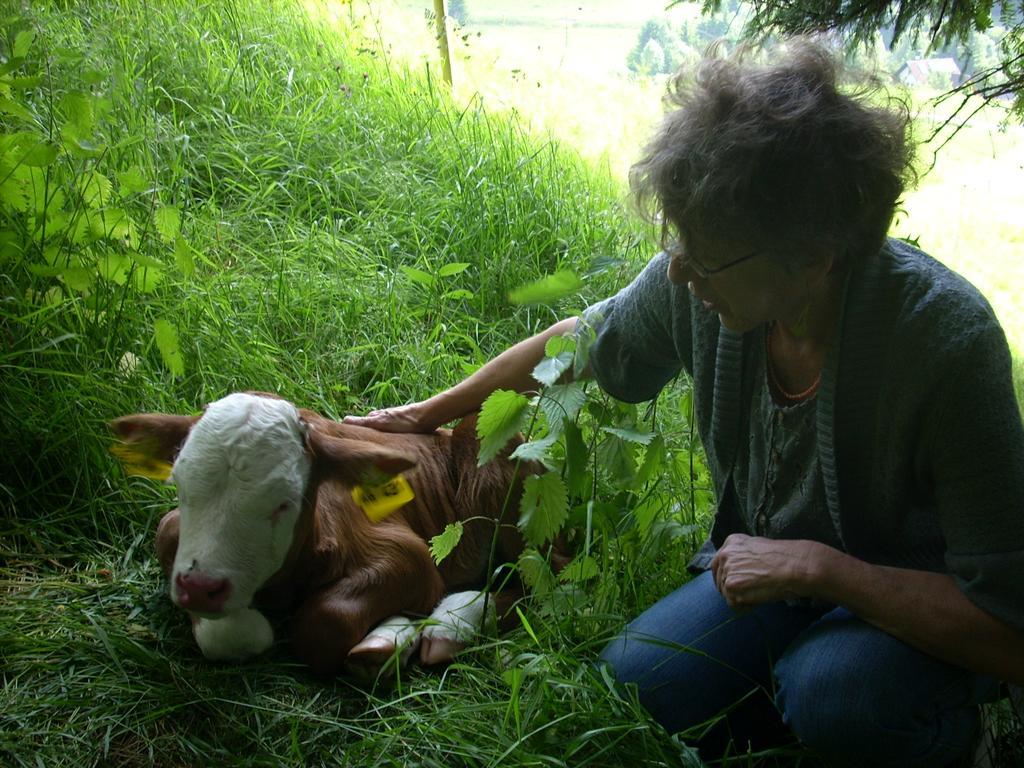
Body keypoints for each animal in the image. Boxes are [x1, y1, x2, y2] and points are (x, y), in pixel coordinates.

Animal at [110, 393, 536, 675]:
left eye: (284, 501)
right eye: (180, 484)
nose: (200, 588)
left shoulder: (408, 554)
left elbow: (323, 624)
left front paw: (391, 637)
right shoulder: (170, 534)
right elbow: (228, 635)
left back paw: (450, 626)